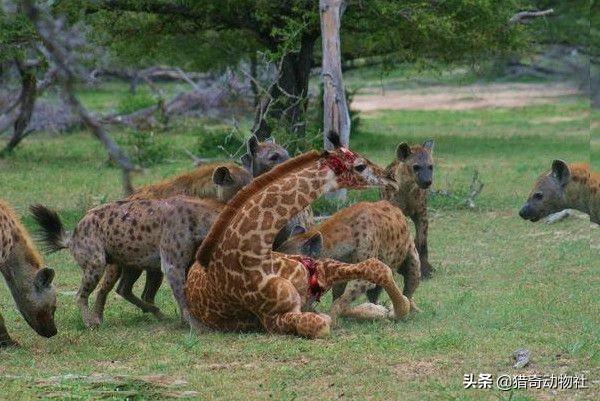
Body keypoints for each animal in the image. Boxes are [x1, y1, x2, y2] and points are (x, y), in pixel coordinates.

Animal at [274, 198, 420, 324]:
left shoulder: (366, 271)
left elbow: (340, 304)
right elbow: (340, 301)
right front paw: (374, 311)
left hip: (413, 259)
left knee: (410, 287)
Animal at [380, 140, 436, 278]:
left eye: (430, 166)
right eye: (416, 167)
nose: (427, 181)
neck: (407, 190)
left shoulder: (421, 212)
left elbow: (422, 240)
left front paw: (426, 270)